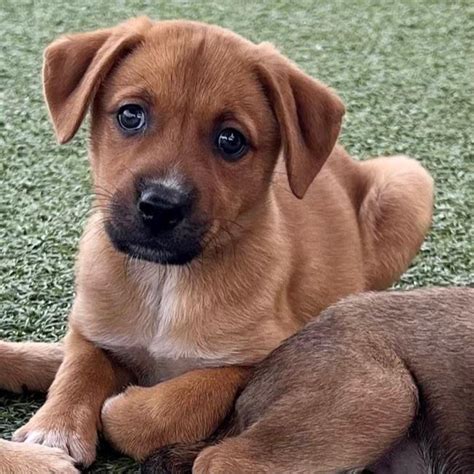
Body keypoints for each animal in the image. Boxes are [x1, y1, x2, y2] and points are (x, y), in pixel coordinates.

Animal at [0, 17, 434, 466]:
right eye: (130, 115)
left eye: (230, 140)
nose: (160, 207)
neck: (164, 280)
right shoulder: (91, 327)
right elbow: (78, 368)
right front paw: (54, 430)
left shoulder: (267, 356)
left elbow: (181, 400)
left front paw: (121, 406)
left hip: (409, 181)